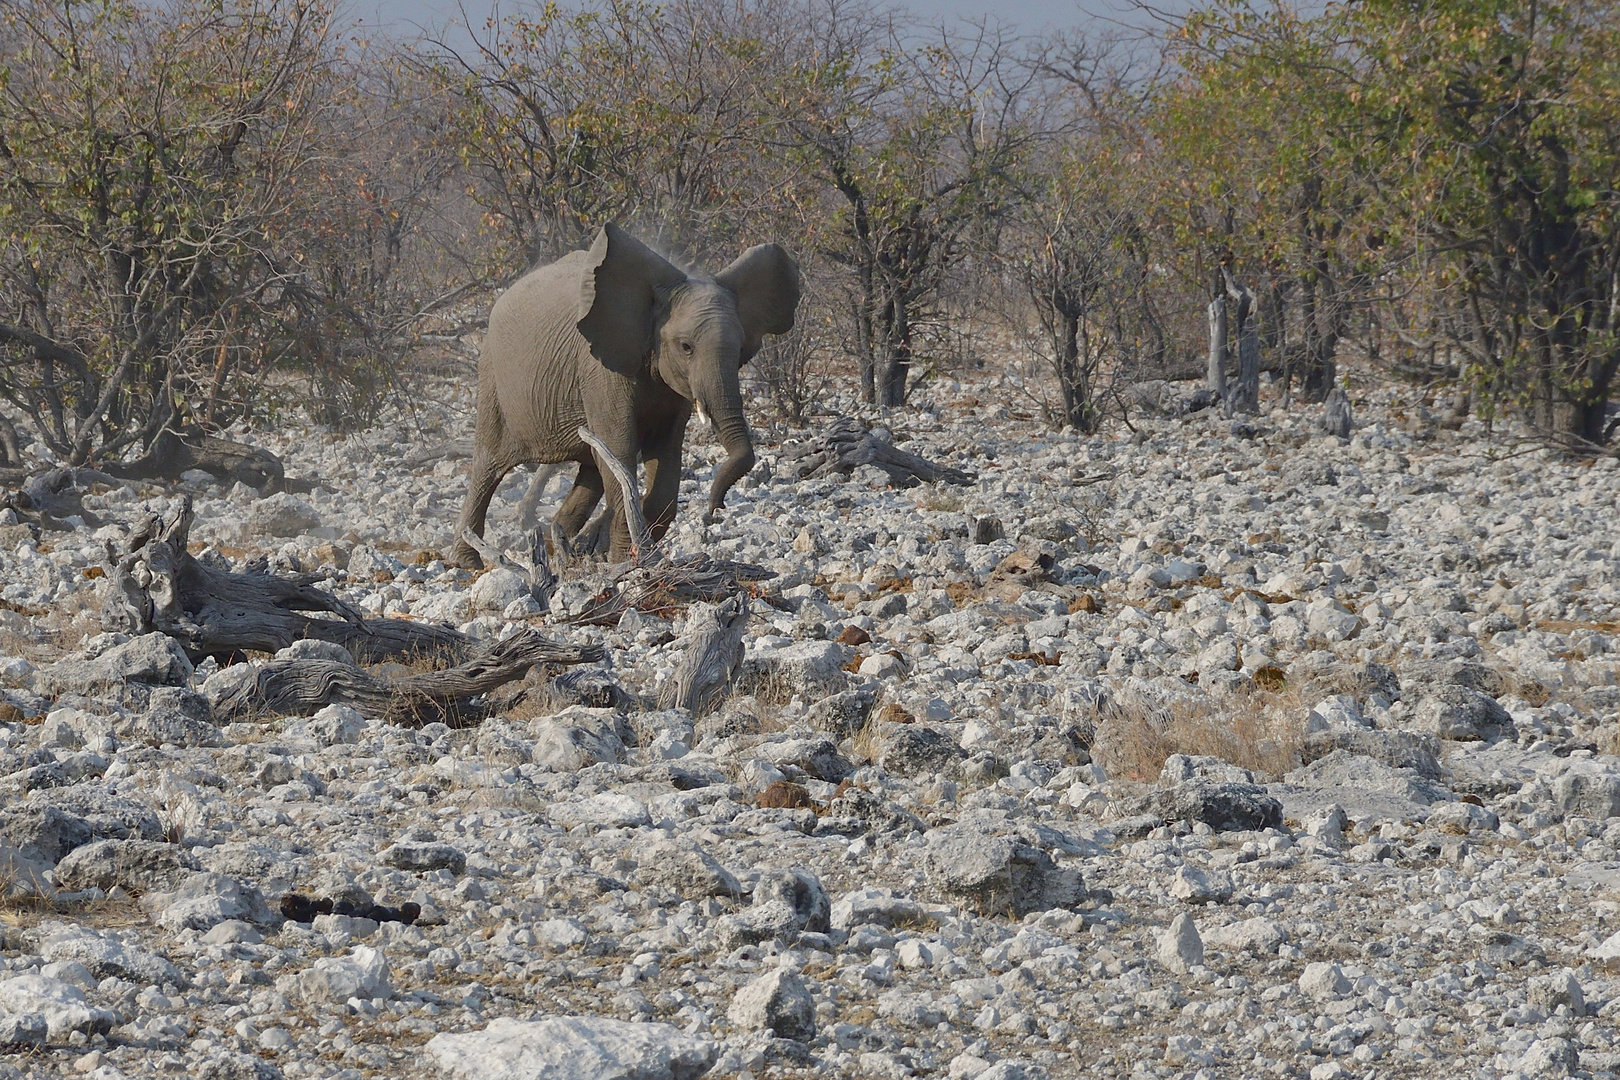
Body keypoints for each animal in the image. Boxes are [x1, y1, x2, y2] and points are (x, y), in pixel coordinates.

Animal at [447, 225, 800, 569]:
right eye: (686, 347)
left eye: (740, 349)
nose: (715, 508)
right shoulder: (599, 370)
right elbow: (620, 448)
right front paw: (623, 559)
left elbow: (664, 454)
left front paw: (613, 549)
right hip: (492, 378)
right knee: (489, 466)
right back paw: (469, 561)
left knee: (591, 467)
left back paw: (559, 546)